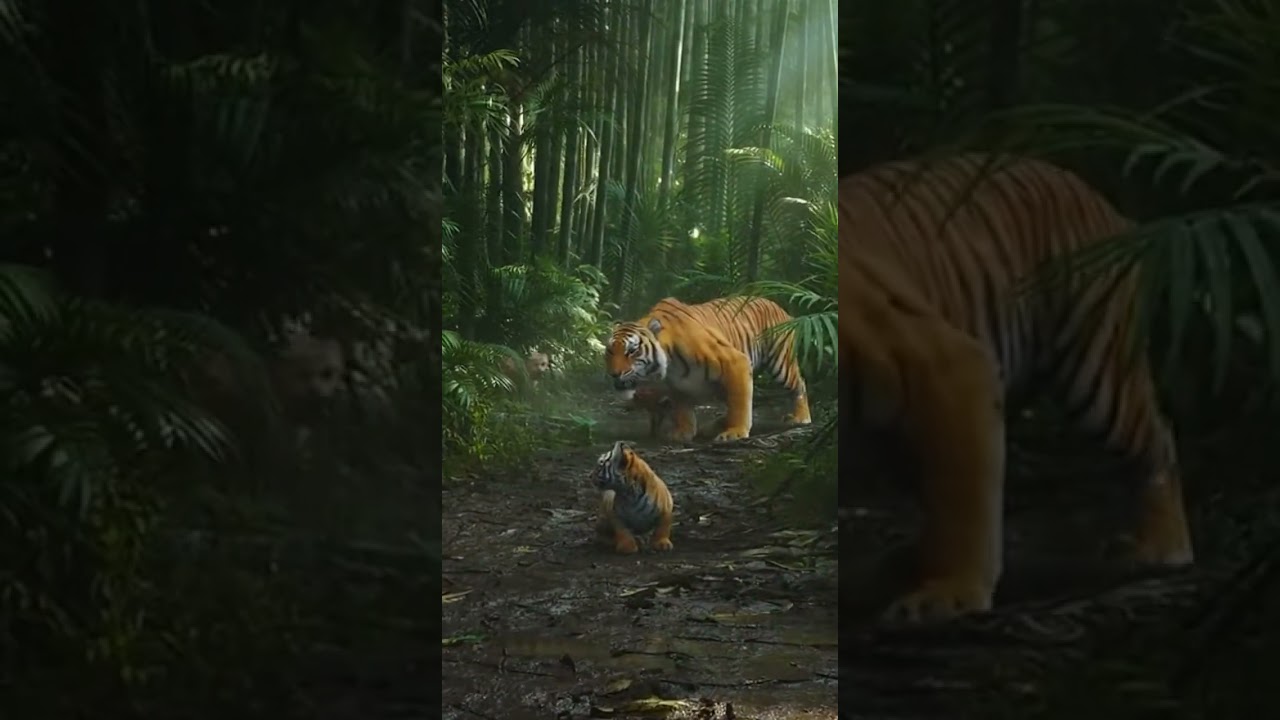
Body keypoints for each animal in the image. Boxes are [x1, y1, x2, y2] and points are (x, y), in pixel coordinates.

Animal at [605, 296, 811, 443]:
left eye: (632, 351)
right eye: (609, 351)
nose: (613, 374)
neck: (670, 366)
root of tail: (779, 307)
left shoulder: (736, 362)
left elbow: (740, 405)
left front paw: (735, 432)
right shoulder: (677, 386)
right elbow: (683, 409)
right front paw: (684, 433)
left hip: (781, 363)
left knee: (799, 384)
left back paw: (801, 418)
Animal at [839, 153, 1195, 623]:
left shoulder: (949, 366)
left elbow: (965, 503)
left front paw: (950, 594)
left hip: (1099, 364)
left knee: (1156, 438)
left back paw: (1161, 547)